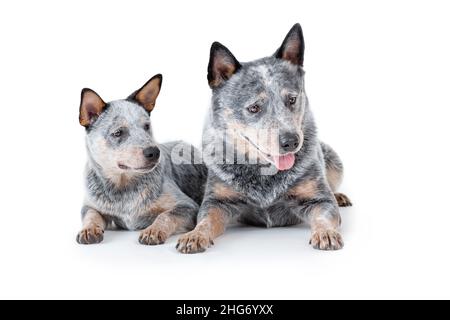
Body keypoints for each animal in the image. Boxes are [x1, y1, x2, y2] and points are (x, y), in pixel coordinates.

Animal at [78, 74, 207, 245]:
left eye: (146, 126)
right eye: (118, 133)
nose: (154, 152)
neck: (123, 188)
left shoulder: (187, 205)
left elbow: (165, 215)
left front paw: (153, 230)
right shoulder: (90, 205)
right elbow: (90, 214)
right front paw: (88, 229)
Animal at [178, 22, 354, 254]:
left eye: (292, 99)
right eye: (254, 108)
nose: (291, 141)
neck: (265, 174)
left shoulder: (319, 199)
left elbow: (324, 214)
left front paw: (325, 232)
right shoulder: (217, 201)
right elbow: (205, 220)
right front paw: (195, 234)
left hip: (334, 161)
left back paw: (339, 195)